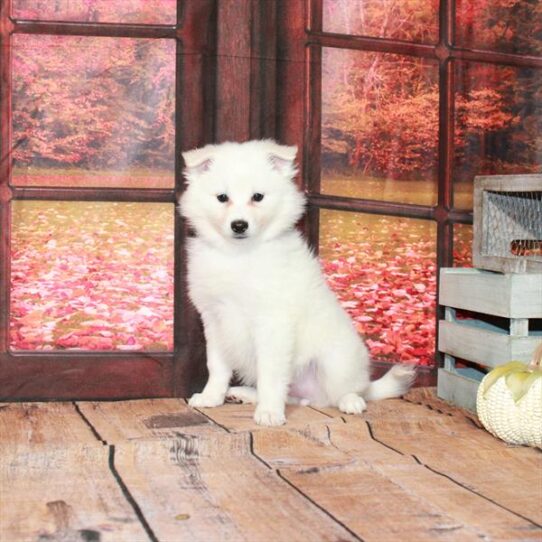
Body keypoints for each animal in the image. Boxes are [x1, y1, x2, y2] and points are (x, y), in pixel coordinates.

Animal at [180, 141, 416, 430]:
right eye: (222, 198)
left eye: (258, 197)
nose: (239, 225)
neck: (240, 254)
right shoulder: (214, 320)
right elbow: (217, 365)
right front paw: (211, 396)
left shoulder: (272, 323)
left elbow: (270, 373)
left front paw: (269, 412)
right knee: (296, 395)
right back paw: (244, 394)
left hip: (336, 360)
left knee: (351, 389)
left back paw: (351, 401)